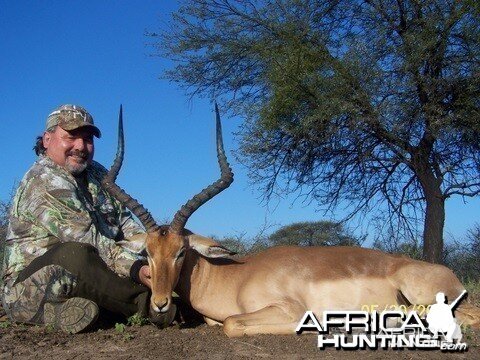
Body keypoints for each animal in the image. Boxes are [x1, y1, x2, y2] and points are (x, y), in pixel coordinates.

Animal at [102, 104, 480, 338]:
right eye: (148, 253)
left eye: (181, 252)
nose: (160, 303)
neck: (235, 276)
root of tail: (449, 274)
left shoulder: (286, 309)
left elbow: (231, 324)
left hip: (421, 295)